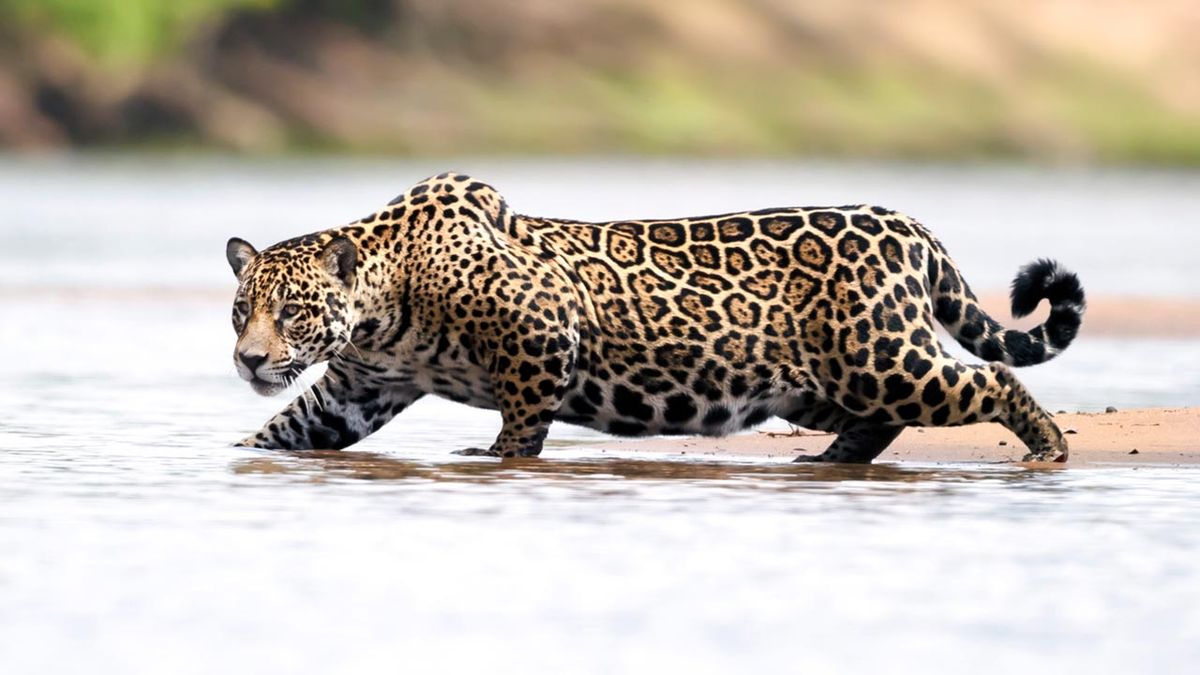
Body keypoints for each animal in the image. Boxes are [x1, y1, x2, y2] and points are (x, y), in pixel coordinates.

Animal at [226, 172, 1085, 463]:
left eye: (292, 311)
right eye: (242, 311)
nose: (249, 359)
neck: (385, 296)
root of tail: (909, 224)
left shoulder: (542, 332)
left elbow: (523, 421)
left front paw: (495, 456)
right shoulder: (358, 389)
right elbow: (288, 426)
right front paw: (235, 452)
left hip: (881, 359)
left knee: (991, 377)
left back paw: (1048, 449)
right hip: (820, 381)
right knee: (880, 419)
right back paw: (830, 458)